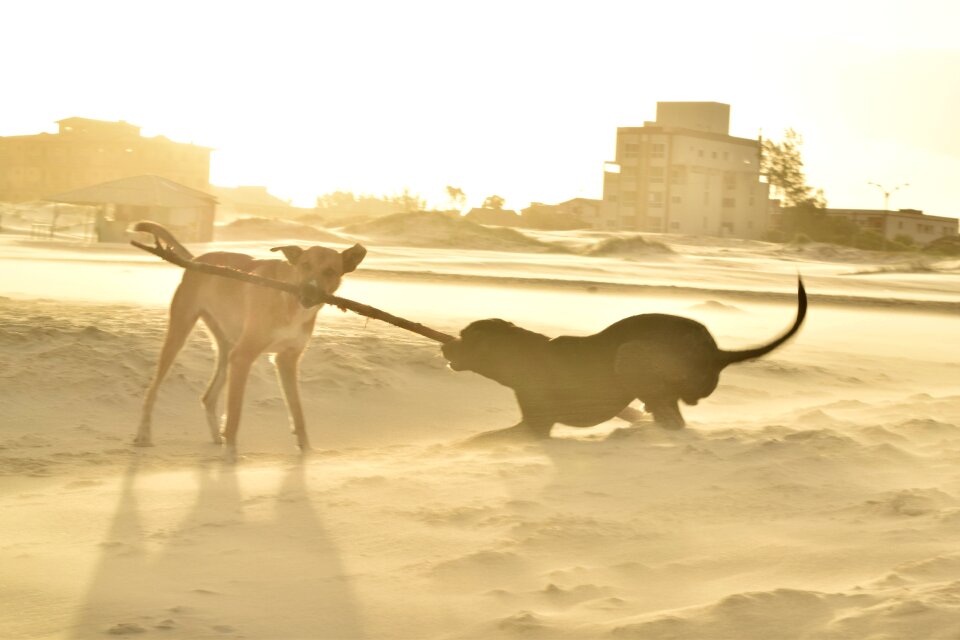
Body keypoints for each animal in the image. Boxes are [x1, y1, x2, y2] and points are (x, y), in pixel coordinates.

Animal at [137, 222, 370, 458]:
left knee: (208, 397)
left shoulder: (286, 360)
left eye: (330, 271)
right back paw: (144, 435)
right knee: (152, 389)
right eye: (305, 265)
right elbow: (235, 412)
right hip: (180, 332)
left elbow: (297, 411)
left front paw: (306, 452)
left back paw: (216, 437)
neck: (290, 300)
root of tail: (197, 260)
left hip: (226, 348)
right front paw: (231, 455)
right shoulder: (243, 357)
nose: (308, 291)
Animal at [446, 280, 808, 440]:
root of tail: (717, 352)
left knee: (670, 417)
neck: (520, 355)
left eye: (464, 336)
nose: (446, 346)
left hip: (630, 353)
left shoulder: (535, 426)